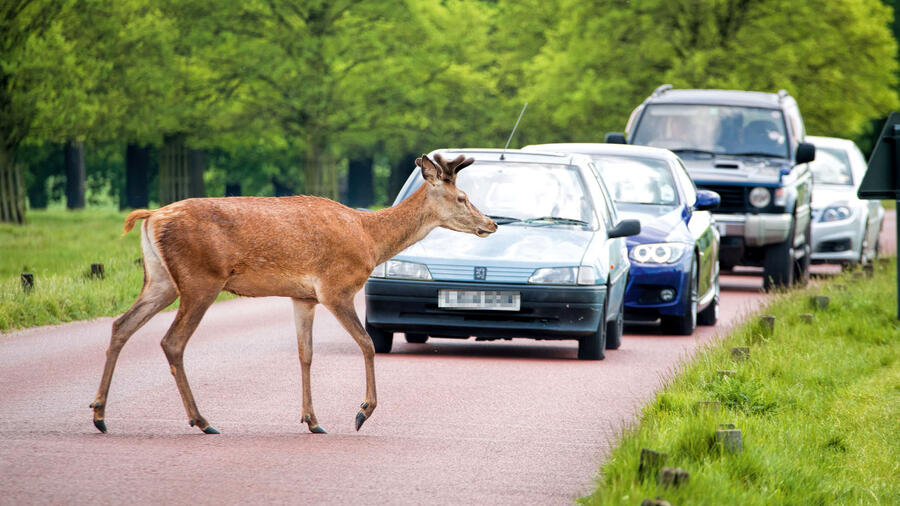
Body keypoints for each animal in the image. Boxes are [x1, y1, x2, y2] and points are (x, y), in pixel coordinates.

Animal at [89, 153, 496, 435]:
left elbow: (305, 354)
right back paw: (202, 420)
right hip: (200, 280)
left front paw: (312, 420)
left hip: (160, 280)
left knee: (121, 325)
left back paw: (100, 414)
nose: (490, 223)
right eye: (462, 197)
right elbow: (366, 343)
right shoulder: (335, 287)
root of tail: (152, 216)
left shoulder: (304, 297)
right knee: (172, 341)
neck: (370, 239)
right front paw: (362, 411)